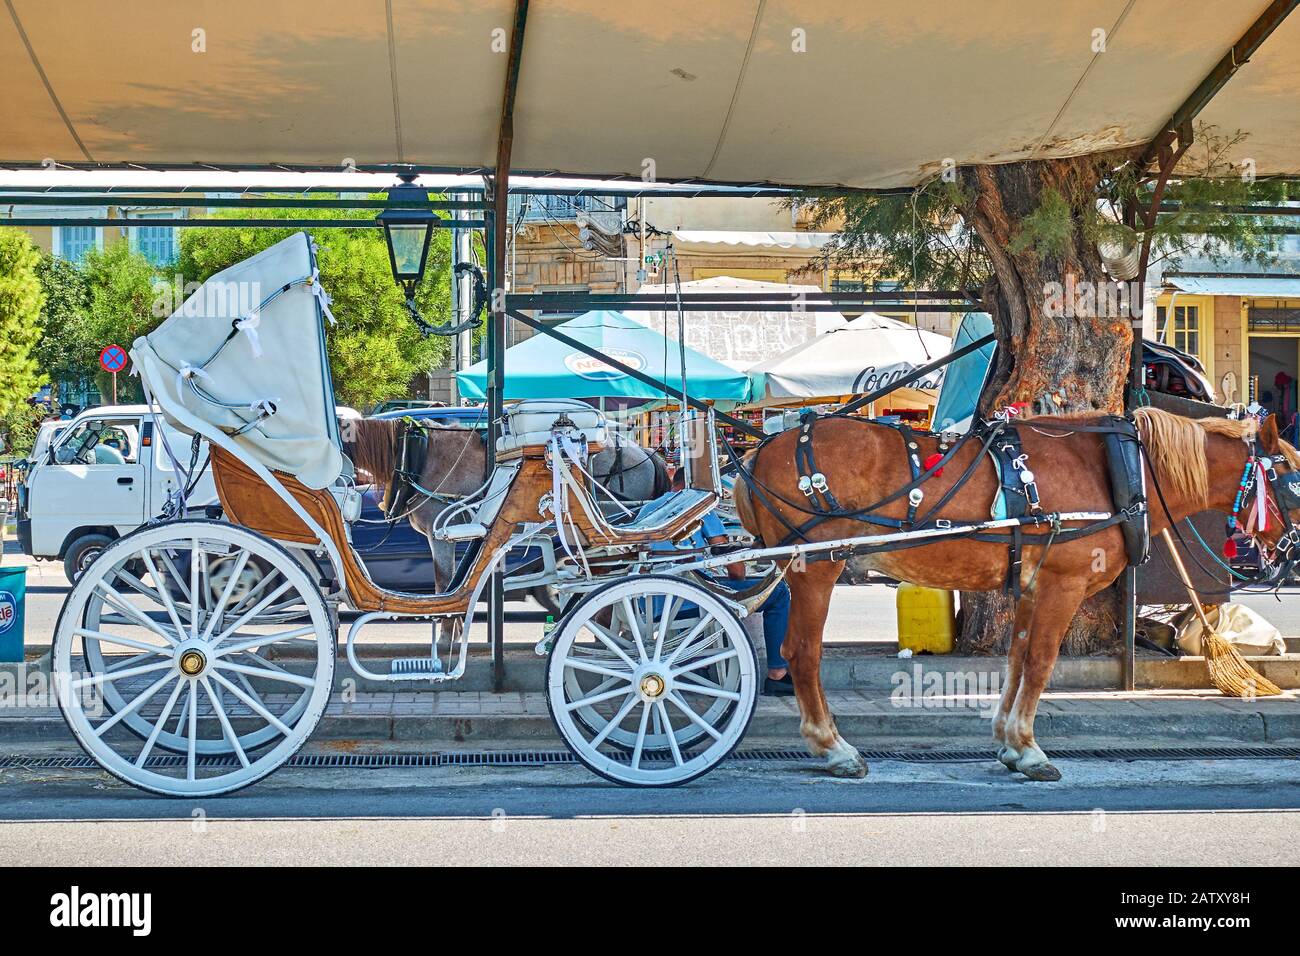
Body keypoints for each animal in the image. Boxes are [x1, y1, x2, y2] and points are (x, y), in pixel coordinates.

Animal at [738, 408, 1294, 780]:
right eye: (1291, 477)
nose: (1291, 550)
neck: (1120, 470)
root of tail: (759, 450)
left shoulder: (1032, 585)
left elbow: (1018, 659)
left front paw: (1008, 741)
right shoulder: (1063, 584)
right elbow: (1043, 662)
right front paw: (1029, 749)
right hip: (815, 569)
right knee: (802, 653)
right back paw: (832, 747)